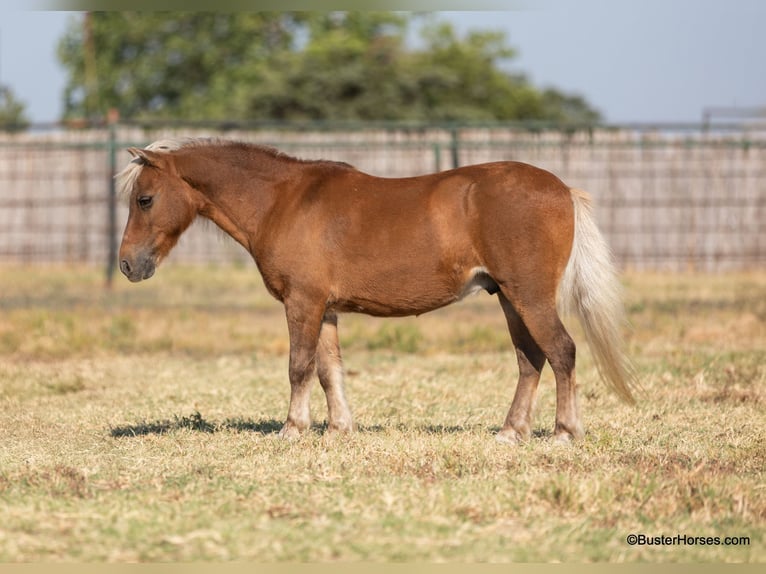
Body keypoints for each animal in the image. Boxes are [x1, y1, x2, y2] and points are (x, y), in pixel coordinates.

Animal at [115, 140, 640, 446]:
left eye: (145, 199)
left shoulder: (302, 303)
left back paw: (563, 433)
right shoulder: (325, 308)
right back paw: (511, 432)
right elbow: (329, 370)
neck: (282, 200)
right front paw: (338, 428)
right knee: (530, 359)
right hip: (510, 299)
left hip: (528, 297)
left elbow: (299, 366)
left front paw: (292, 429)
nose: (126, 264)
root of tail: (562, 189)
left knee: (562, 352)